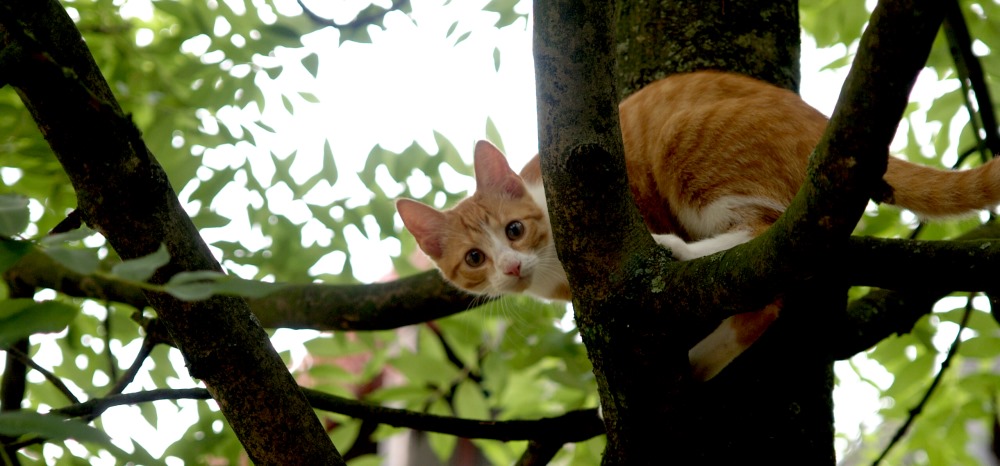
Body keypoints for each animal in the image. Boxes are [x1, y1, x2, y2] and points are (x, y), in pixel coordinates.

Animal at [394, 71, 1000, 380]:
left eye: (514, 231)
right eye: (475, 259)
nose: (511, 265)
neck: (552, 268)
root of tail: (827, 125)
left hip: (687, 146)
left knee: (762, 242)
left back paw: (683, 265)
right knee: (770, 294)